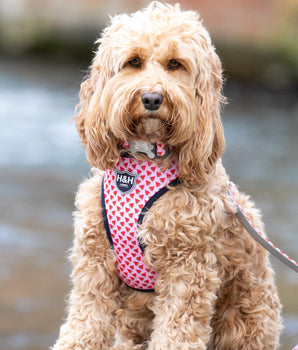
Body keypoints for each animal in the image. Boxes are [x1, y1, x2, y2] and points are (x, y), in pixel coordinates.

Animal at [52, 2, 282, 350]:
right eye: (133, 62)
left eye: (175, 64)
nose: (152, 98)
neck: (143, 164)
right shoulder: (95, 264)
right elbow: (85, 323)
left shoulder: (188, 269)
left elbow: (177, 331)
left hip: (246, 319)